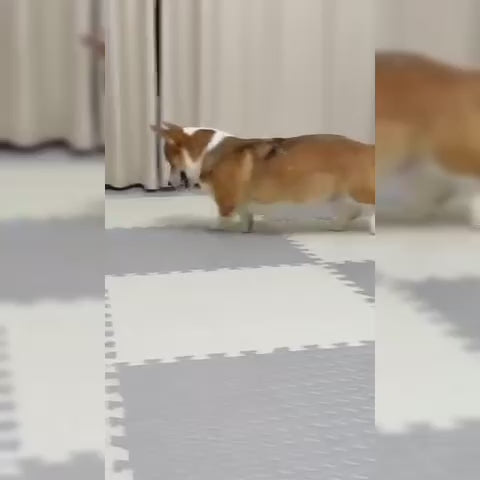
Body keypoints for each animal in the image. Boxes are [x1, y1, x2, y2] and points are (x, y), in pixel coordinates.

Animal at [151, 123, 375, 234]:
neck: (206, 151)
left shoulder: (226, 199)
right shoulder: (240, 201)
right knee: (352, 211)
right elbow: (245, 215)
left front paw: (215, 228)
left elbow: (223, 215)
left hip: (358, 191)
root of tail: (367, 147)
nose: (168, 183)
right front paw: (246, 229)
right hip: (340, 195)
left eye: (169, 159)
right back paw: (337, 226)